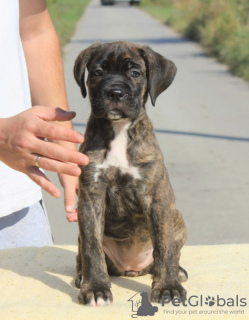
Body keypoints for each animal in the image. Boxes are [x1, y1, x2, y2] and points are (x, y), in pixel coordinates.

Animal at [73, 41, 187, 306]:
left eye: (135, 73)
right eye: (98, 72)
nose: (115, 93)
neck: (120, 129)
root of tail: (132, 269)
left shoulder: (157, 199)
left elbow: (164, 247)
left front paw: (168, 287)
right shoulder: (90, 198)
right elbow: (92, 248)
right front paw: (95, 288)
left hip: (177, 219)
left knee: (169, 252)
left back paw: (177, 272)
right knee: (83, 254)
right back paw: (81, 277)